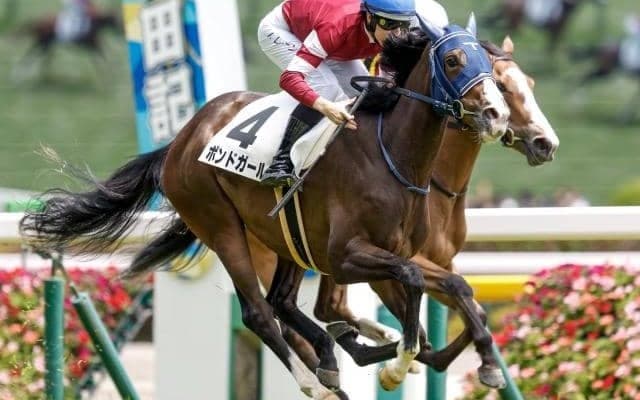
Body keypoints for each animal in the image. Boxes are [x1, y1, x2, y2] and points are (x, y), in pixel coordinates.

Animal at [20, 18, 509, 399]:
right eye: (453, 61)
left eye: (492, 69)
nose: (496, 115)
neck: (393, 155)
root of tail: (183, 137)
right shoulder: (346, 256)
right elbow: (414, 286)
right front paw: (396, 361)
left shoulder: (397, 251)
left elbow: (448, 293)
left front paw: (476, 358)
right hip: (221, 225)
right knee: (259, 311)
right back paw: (316, 378)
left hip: (288, 238)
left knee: (282, 302)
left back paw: (333, 354)